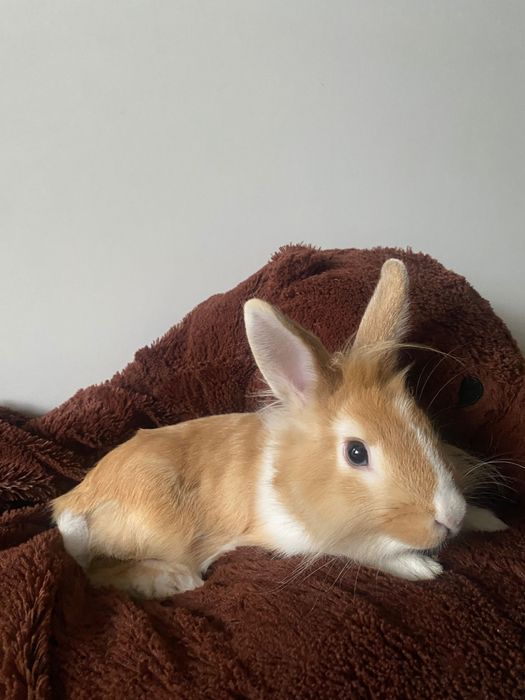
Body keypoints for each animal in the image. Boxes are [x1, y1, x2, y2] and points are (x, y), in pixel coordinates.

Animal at [51, 259, 507, 599]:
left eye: (424, 424)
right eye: (356, 452)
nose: (450, 515)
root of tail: (70, 506)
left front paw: (489, 521)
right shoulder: (304, 536)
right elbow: (362, 549)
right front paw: (422, 568)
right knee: (97, 573)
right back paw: (175, 581)